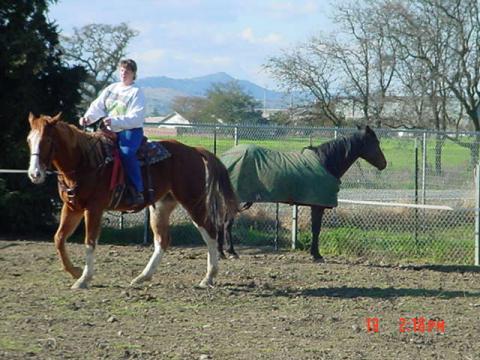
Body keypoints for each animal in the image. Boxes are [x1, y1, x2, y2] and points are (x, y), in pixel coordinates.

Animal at [26, 114, 238, 288]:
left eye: (46, 140)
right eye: (29, 140)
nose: (34, 174)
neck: (85, 162)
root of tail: (194, 149)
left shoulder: (94, 208)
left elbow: (90, 241)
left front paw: (84, 278)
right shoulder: (72, 207)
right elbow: (59, 238)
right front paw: (75, 271)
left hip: (193, 202)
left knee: (210, 232)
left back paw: (208, 277)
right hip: (160, 207)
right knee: (162, 240)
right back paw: (142, 277)